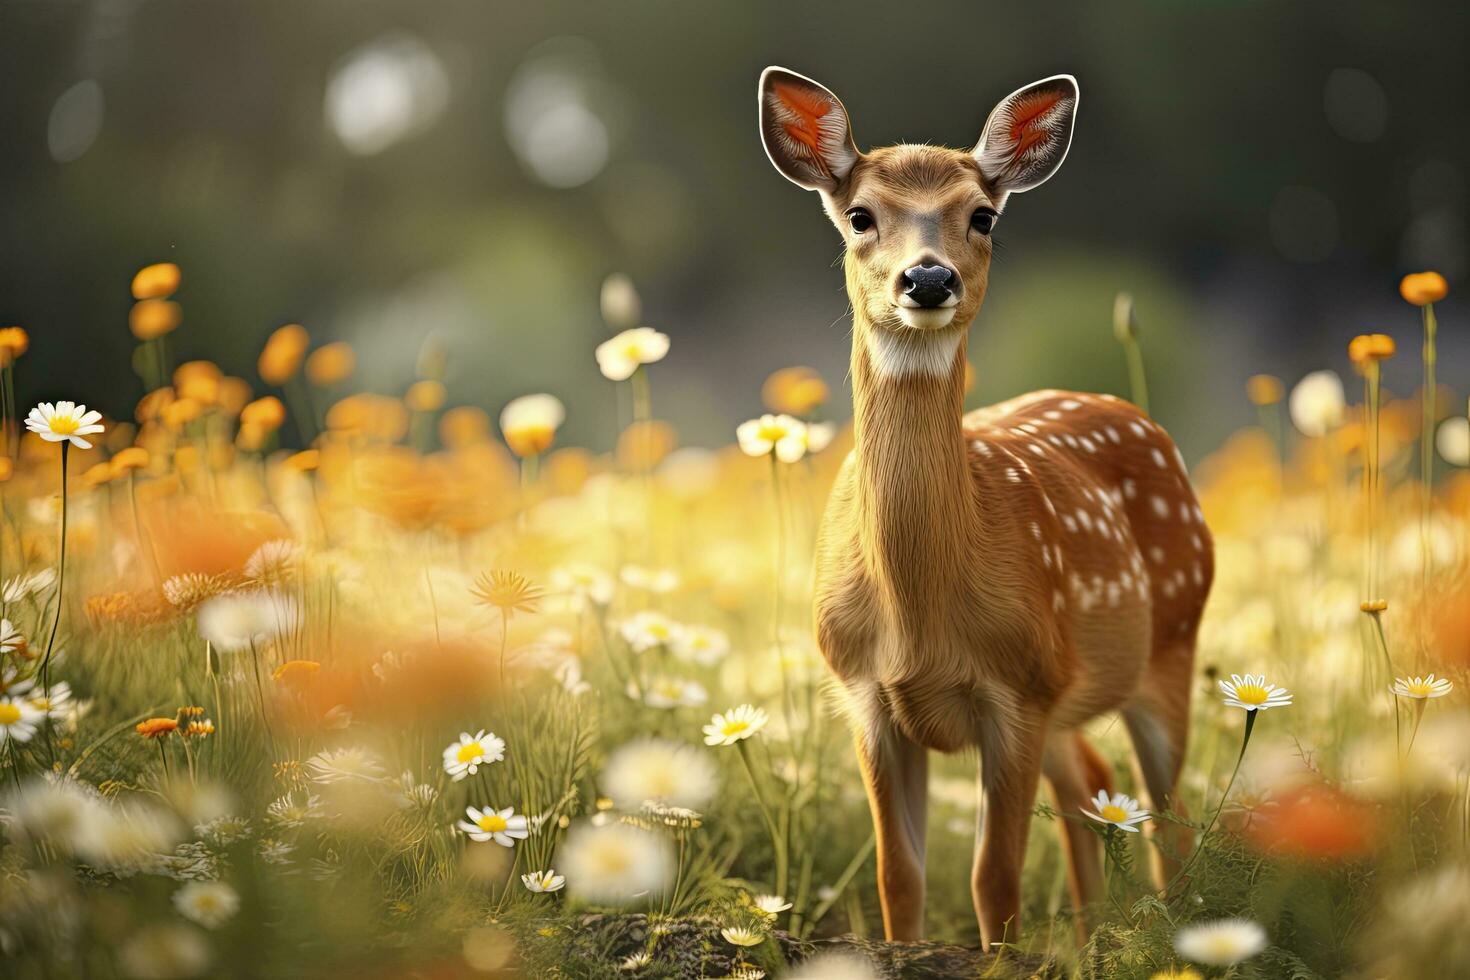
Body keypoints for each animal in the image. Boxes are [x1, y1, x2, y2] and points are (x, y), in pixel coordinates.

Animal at [764, 65, 1211, 946]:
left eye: (984, 215)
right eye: (860, 215)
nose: (928, 278)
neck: (920, 617)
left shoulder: (1018, 691)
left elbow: (993, 880)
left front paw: (1004, 955)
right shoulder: (866, 694)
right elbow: (898, 875)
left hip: (1170, 640)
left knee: (1165, 821)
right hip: (1071, 692)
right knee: (1091, 787)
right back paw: (1088, 940)